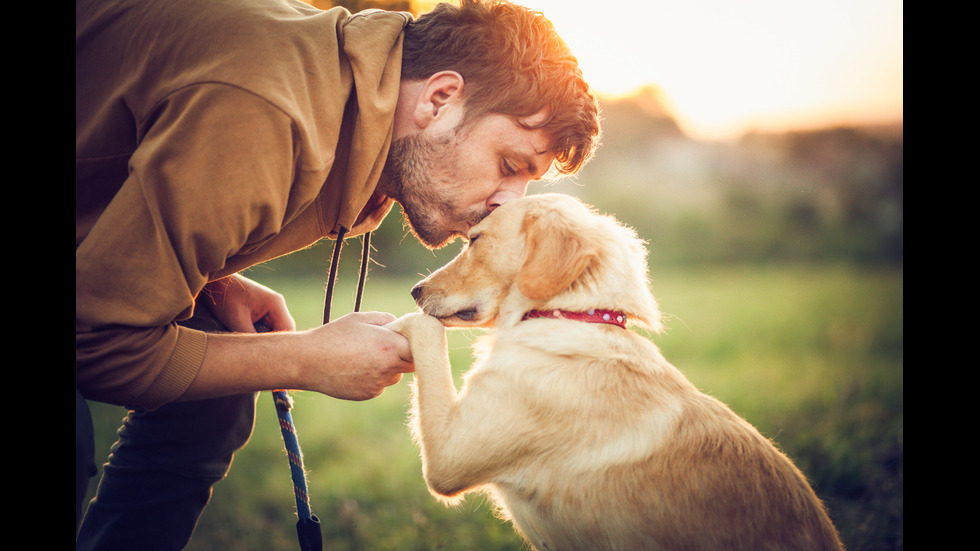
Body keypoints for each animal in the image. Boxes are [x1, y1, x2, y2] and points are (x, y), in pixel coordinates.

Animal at [386, 194, 848, 551]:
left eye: (475, 240)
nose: (414, 291)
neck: (572, 315)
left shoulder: (449, 458)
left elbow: (426, 331)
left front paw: (393, 323)